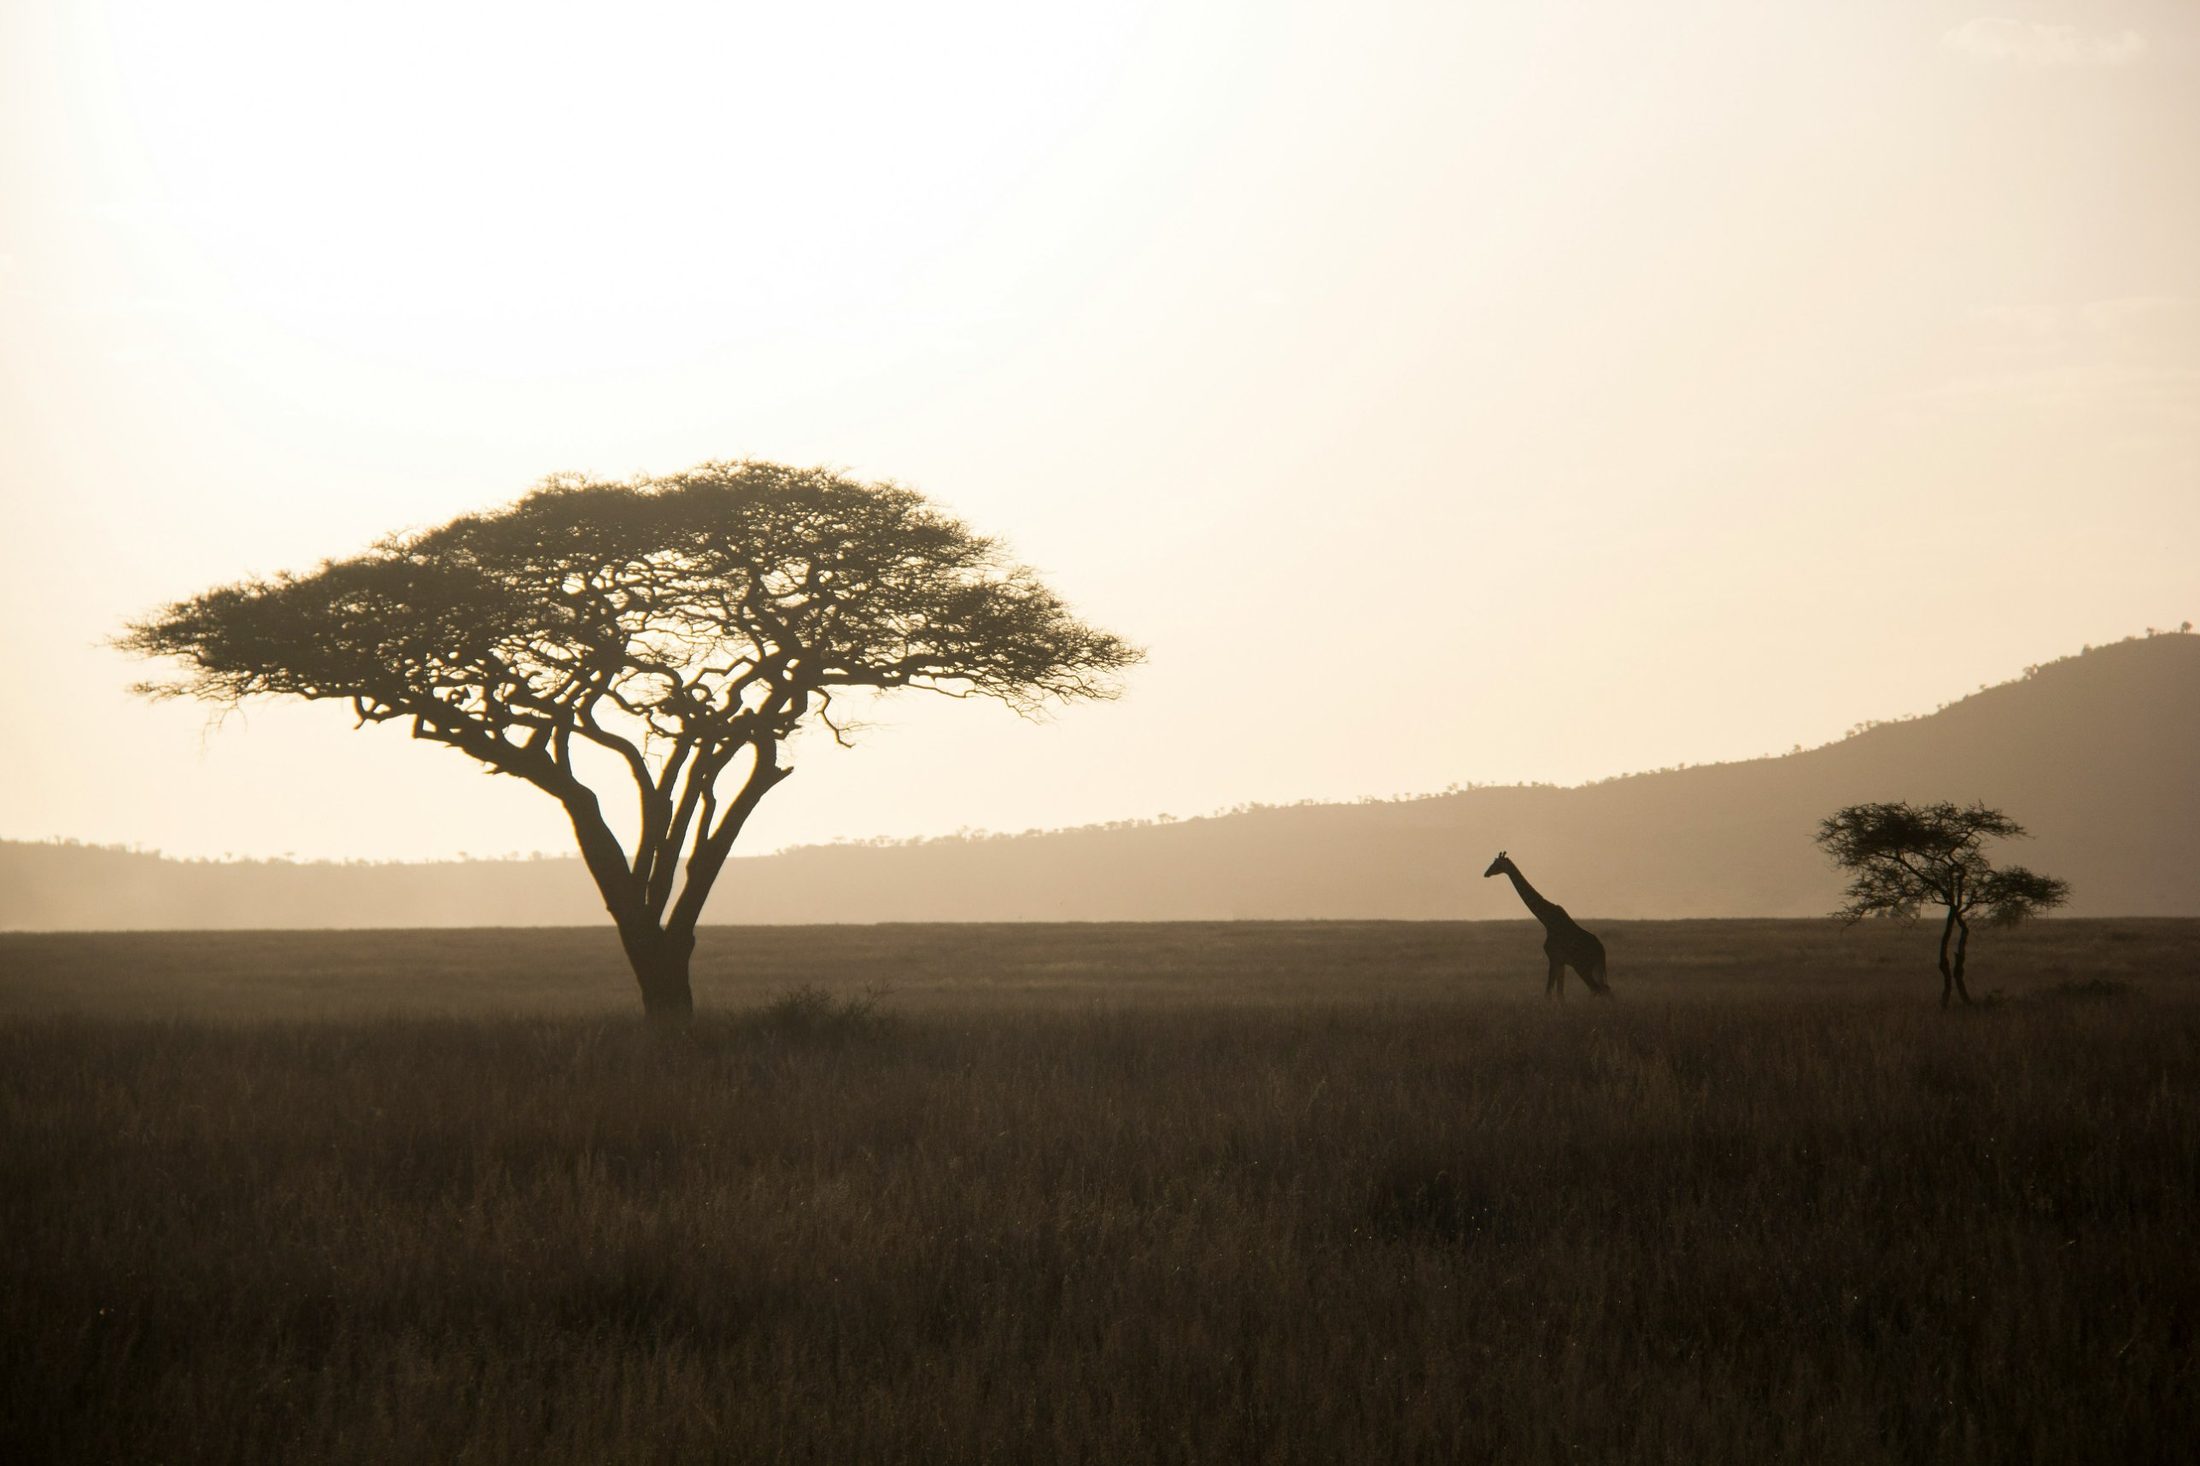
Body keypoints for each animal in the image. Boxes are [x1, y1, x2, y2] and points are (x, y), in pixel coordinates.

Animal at [1483, 851, 1611, 998]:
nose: (1486, 873)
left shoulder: (1553, 957)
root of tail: (1601, 950)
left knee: (1598, 990)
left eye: (1496, 863)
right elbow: (1560, 994)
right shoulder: (1561, 962)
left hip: (1583, 967)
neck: (1546, 921)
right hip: (1594, 968)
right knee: (1605, 990)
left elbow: (1549, 993)